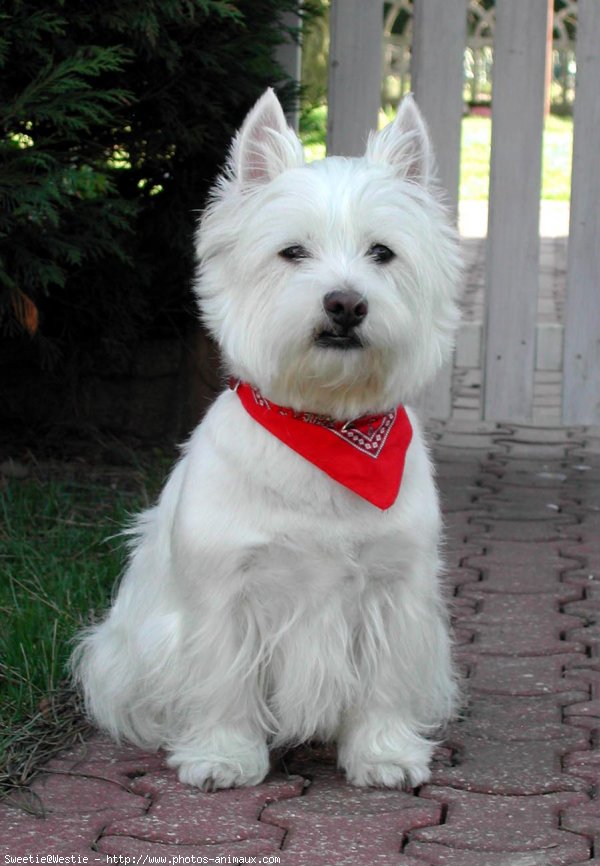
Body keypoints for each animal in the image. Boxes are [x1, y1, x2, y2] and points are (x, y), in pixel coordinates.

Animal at [72, 89, 462, 788]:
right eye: (292, 253)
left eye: (383, 253)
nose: (345, 304)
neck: (329, 426)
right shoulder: (226, 589)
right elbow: (223, 684)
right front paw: (223, 757)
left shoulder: (393, 587)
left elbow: (384, 682)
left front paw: (384, 754)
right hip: (121, 653)